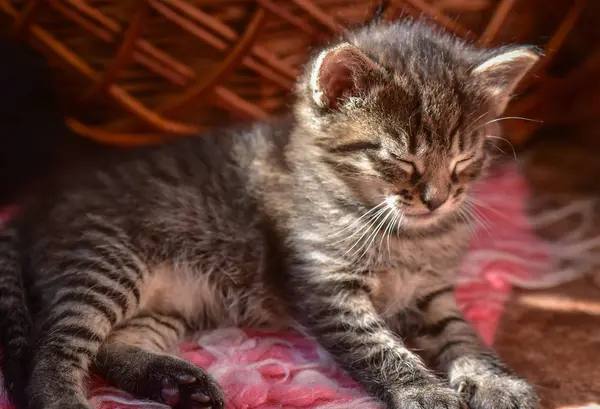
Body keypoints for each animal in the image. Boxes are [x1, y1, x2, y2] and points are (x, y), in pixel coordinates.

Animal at [0, 20, 540, 408]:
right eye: (400, 159)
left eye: (463, 160)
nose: (436, 199)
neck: (405, 234)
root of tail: (39, 202)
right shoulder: (327, 287)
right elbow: (376, 346)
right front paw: (423, 391)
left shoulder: (433, 292)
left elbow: (462, 334)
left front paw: (495, 380)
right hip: (106, 260)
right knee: (52, 345)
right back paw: (63, 396)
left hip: (164, 300)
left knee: (111, 347)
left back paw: (177, 382)